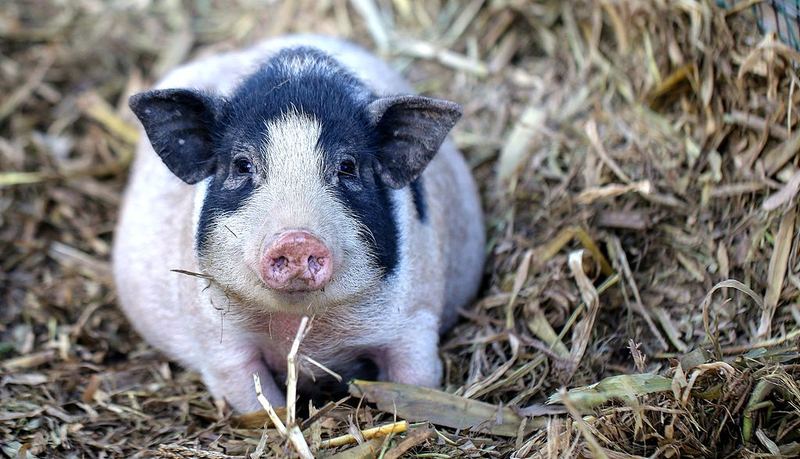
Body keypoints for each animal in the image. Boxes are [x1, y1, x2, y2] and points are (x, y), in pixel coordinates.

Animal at [113, 35, 485, 413]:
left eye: (347, 166)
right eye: (242, 165)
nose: (296, 239)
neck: (302, 327)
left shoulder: (415, 320)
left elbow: (416, 381)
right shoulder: (220, 344)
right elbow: (251, 396)